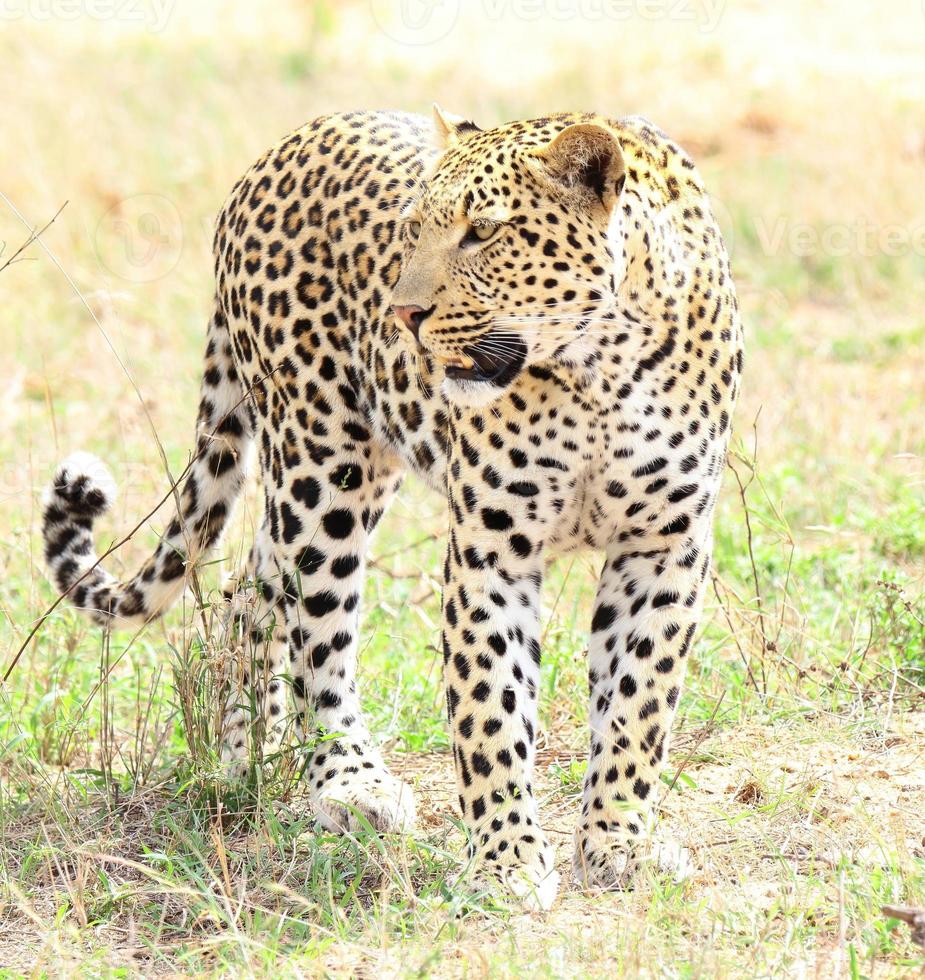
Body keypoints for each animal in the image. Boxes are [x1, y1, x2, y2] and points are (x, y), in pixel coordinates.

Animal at [41, 107, 744, 912]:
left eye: (483, 232)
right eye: (413, 229)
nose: (404, 314)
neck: (597, 368)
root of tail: (277, 149)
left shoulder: (663, 545)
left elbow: (637, 705)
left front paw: (618, 842)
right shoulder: (491, 547)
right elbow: (491, 707)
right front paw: (505, 860)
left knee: (249, 591)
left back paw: (240, 754)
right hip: (322, 471)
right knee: (316, 634)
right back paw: (349, 782)